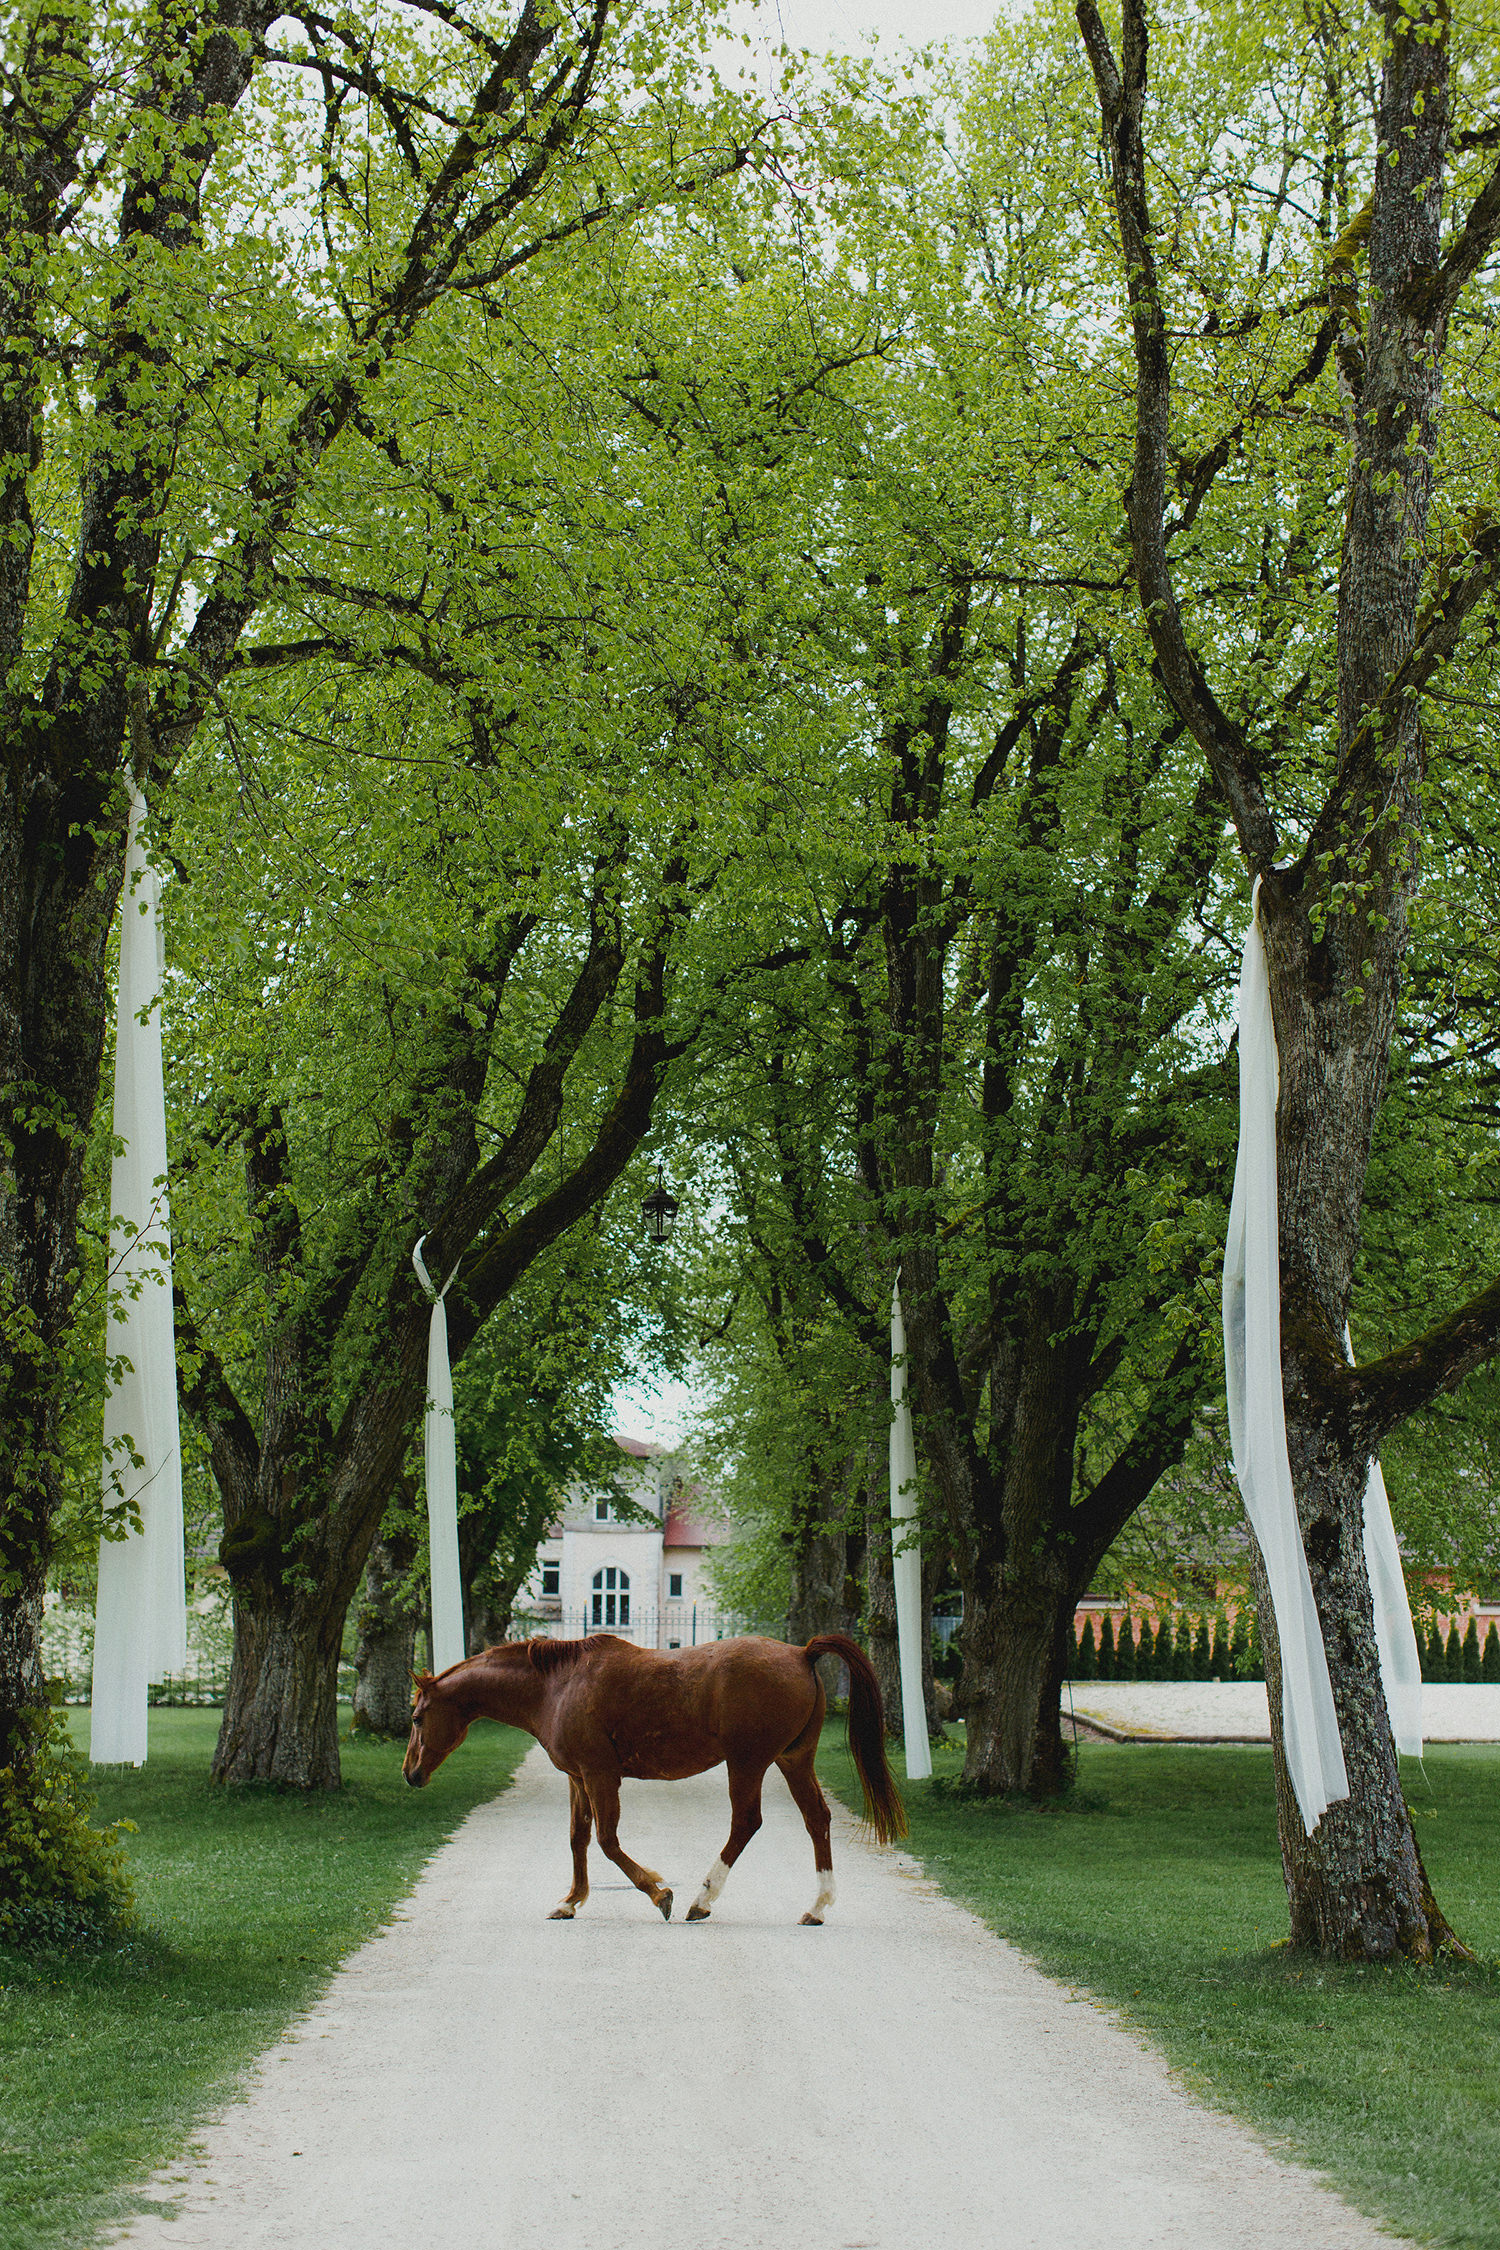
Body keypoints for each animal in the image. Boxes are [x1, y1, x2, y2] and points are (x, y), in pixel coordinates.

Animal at [402, 1629, 904, 1926]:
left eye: (417, 1717)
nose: (410, 1774)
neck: (556, 1686)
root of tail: (802, 1653)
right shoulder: (578, 1778)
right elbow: (578, 1839)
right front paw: (570, 1900)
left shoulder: (600, 1775)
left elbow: (607, 1841)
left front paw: (658, 1892)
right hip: (793, 1760)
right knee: (816, 1819)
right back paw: (817, 1906)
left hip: (748, 1763)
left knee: (746, 1823)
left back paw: (701, 1900)